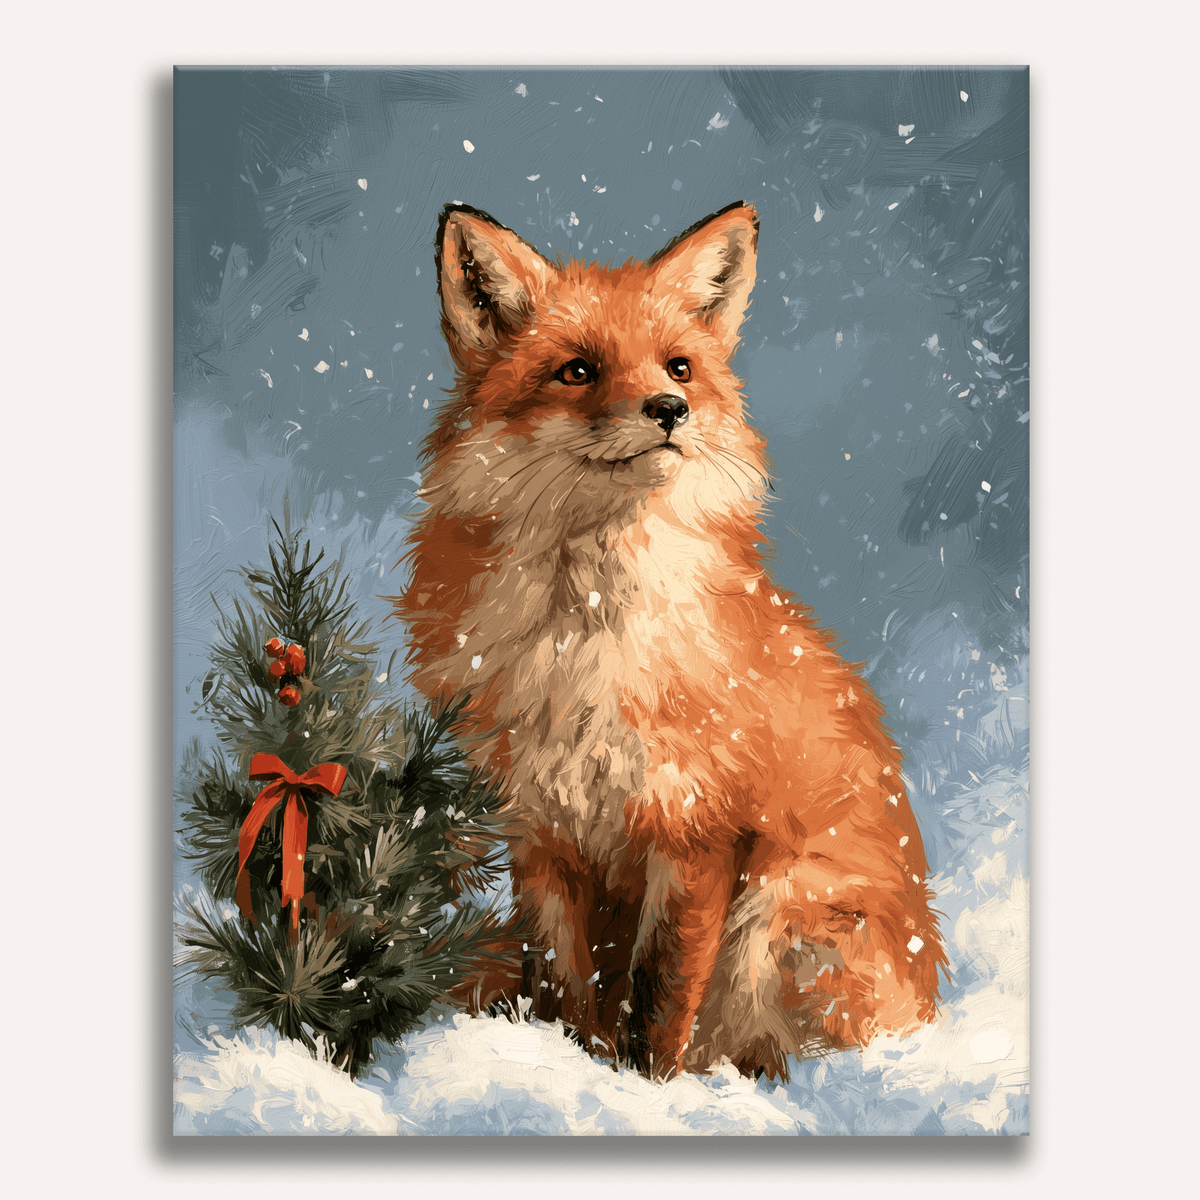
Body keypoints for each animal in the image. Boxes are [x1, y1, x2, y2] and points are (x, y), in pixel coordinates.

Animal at [397, 200, 947, 1081]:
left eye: (679, 368)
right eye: (577, 371)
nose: (668, 410)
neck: (584, 638)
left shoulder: (694, 827)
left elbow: (659, 999)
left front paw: (642, 1092)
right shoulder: (539, 829)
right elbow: (561, 986)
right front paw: (562, 1073)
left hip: (782, 914)